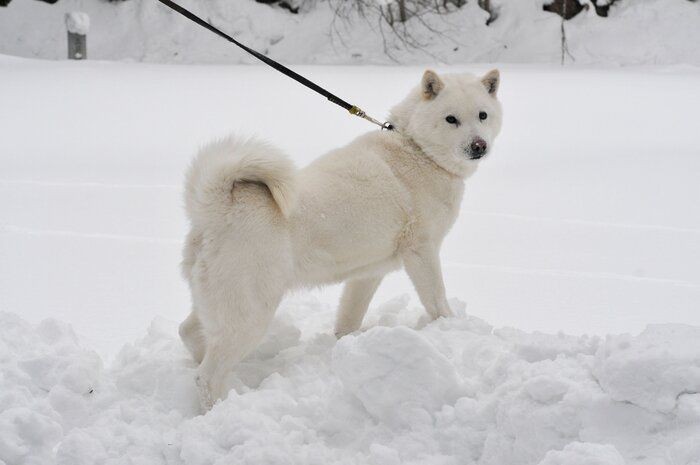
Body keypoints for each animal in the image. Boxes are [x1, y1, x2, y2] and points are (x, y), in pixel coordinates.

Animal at [178, 68, 500, 406]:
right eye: (451, 119)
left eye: (482, 115)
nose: (479, 145)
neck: (417, 149)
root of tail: (219, 207)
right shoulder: (422, 252)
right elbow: (437, 300)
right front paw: (452, 326)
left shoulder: (368, 274)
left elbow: (349, 317)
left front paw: (346, 345)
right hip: (250, 313)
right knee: (207, 376)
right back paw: (223, 403)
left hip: (218, 304)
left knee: (189, 333)